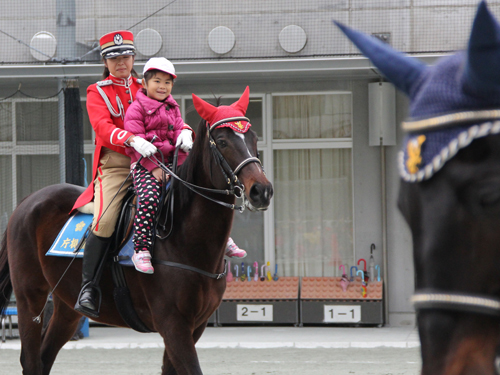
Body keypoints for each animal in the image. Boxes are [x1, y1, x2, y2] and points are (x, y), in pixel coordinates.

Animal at [0, 89, 274, 374]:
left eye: (253, 138)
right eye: (222, 141)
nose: (262, 191)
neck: (183, 236)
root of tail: (27, 201)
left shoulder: (195, 326)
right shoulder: (173, 324)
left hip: (66, 307)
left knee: (44, 357)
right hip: (30, 298)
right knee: (31, 359)